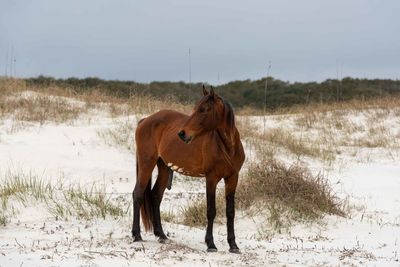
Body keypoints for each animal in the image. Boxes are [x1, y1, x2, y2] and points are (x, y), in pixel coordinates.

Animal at [132, 87, 244, 254]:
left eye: (204, 109)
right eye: (195, 108)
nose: (182, 133)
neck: (228, 148)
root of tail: (145, 120)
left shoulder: (232, 178)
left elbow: (230, 212)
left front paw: (233, 245)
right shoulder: (211, 179)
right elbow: (211, 211)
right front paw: (211, 244)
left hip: (164, 167)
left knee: (155, 196)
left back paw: (162, 235)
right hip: (147, 164)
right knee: (138, 194)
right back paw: (136, 235)